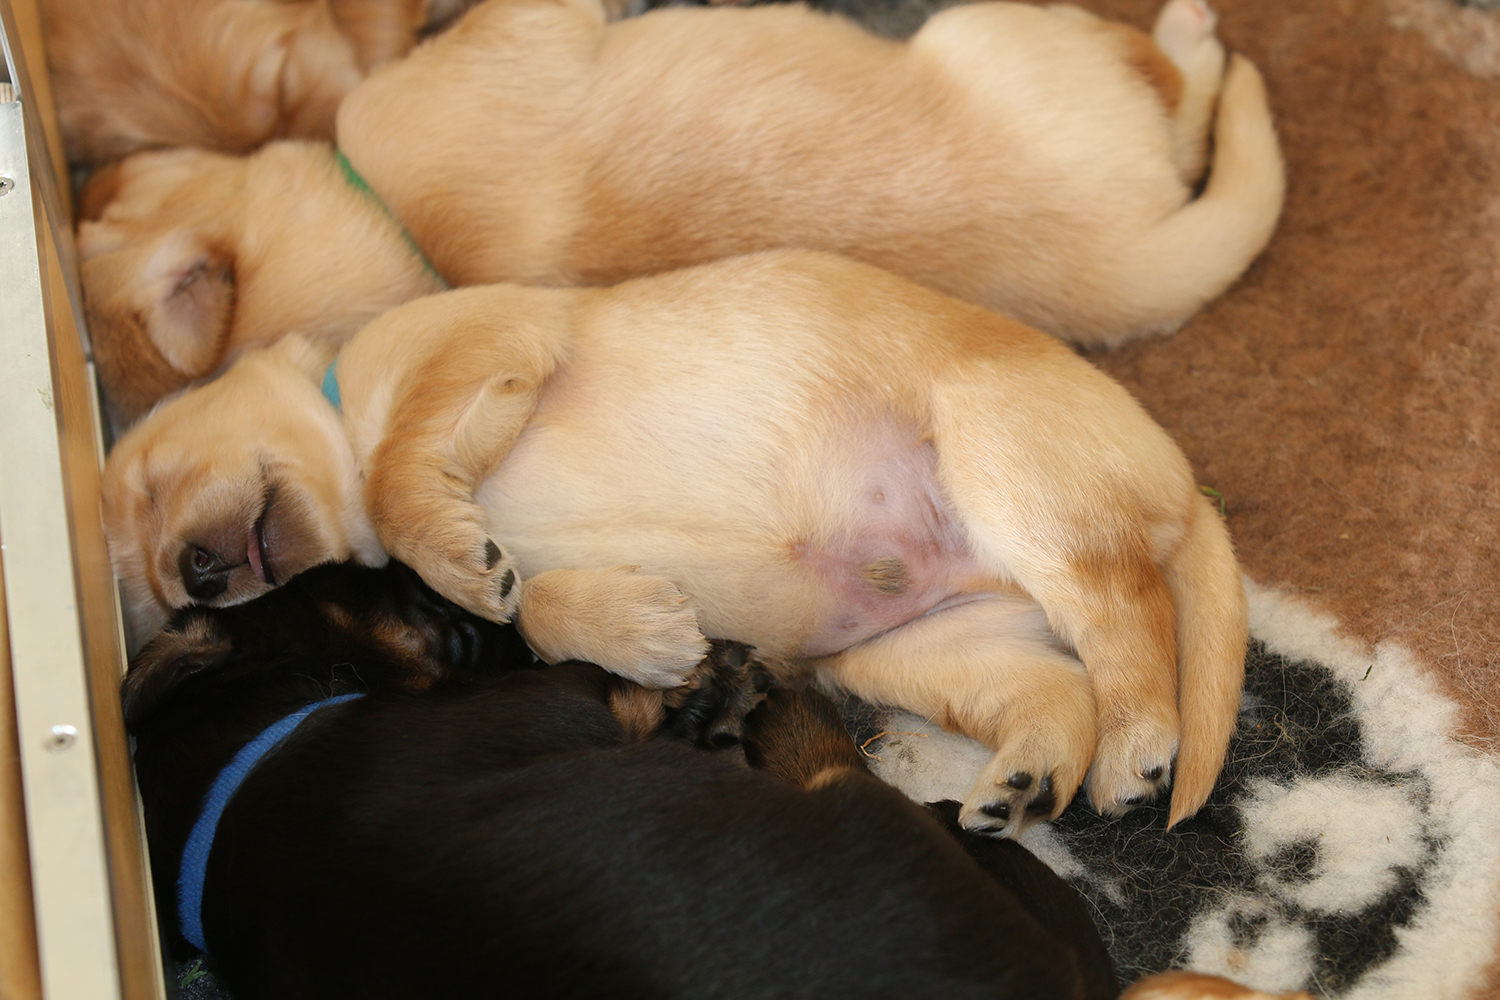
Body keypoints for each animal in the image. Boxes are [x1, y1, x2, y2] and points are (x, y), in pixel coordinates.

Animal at [76, 0, 1284, 425]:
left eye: (107, 200)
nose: (80, 179)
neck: (406, 245)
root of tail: (1114, 268)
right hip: (1001, 38)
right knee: (1181, 103)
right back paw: (1190, 35)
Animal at [101, 249, 1250, 835]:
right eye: (161, 588)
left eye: (152, 490)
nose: (192, 571)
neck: (346, 411)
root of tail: (1181, 486)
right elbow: (539, 602)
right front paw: (648, 632)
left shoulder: (481, 345)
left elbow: (397, 487)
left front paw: (457, 551)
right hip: (920, 645)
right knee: (1055, 686)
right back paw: (1027, 781)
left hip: (1007, 467)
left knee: (1128, 611)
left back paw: (1138, 749)